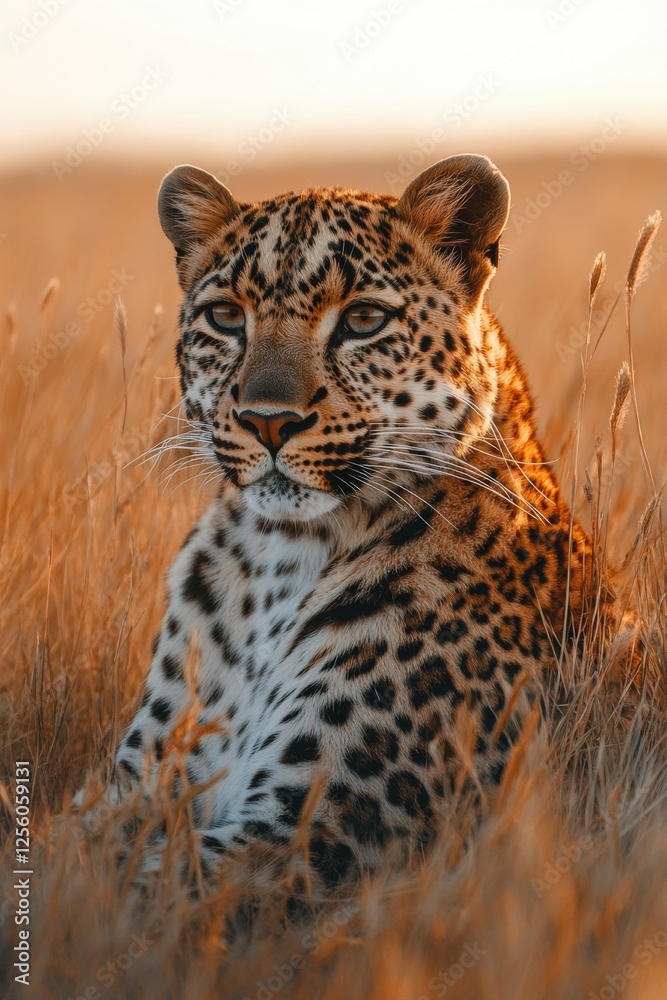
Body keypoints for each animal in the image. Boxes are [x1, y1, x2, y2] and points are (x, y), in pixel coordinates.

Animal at [91, 153, 627, 889]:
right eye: (226, 317)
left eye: (364, 319)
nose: (267, 420)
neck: (277, 559)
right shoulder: (139, 783)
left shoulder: (316, 828)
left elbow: (143, 888)